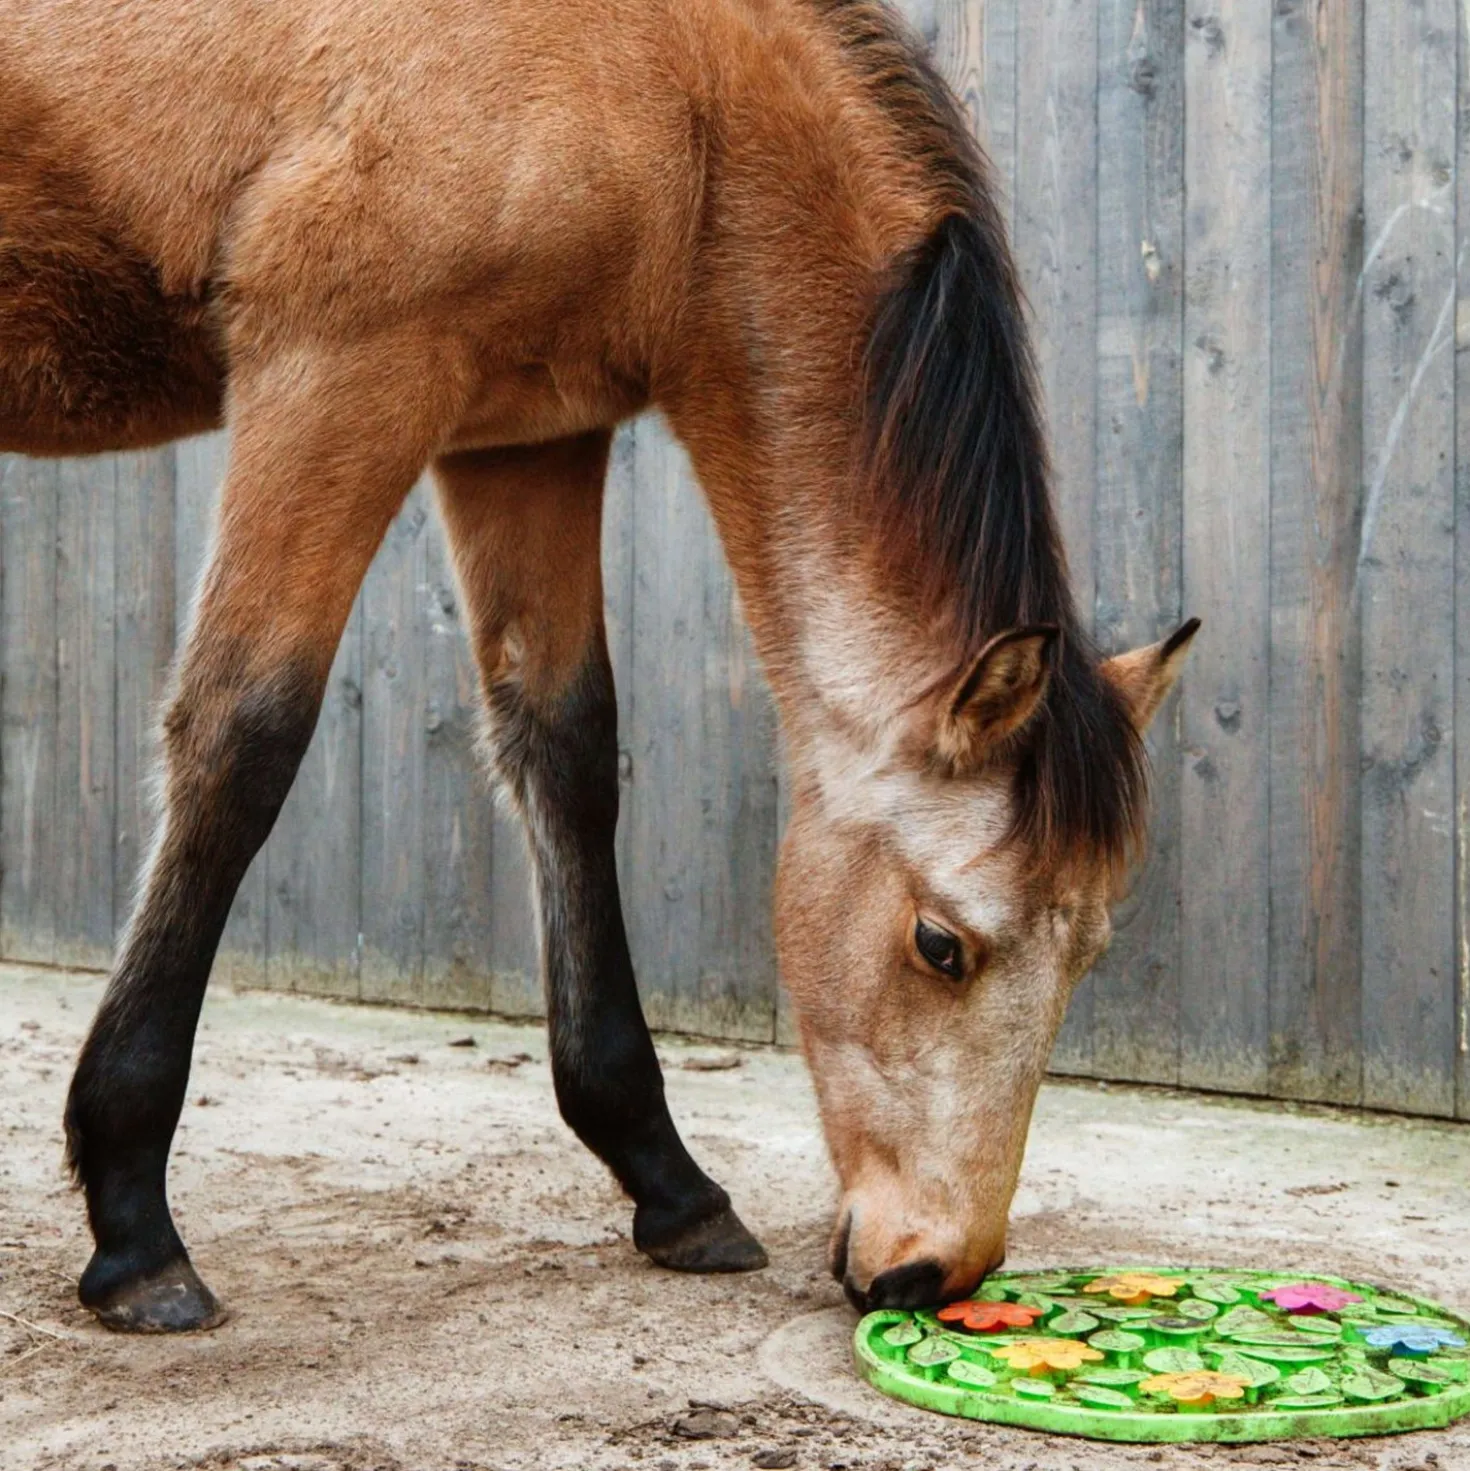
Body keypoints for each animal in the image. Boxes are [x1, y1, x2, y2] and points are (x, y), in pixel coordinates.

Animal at [2, 0, 1197, 1332]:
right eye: (943, 945)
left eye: (1090, 953)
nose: (935, 1271)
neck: (675, 84)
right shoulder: (337, 377)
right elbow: (242, 739)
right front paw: (132, 1220)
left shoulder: (526, 435)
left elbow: (566, 751)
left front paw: (668, 1182)